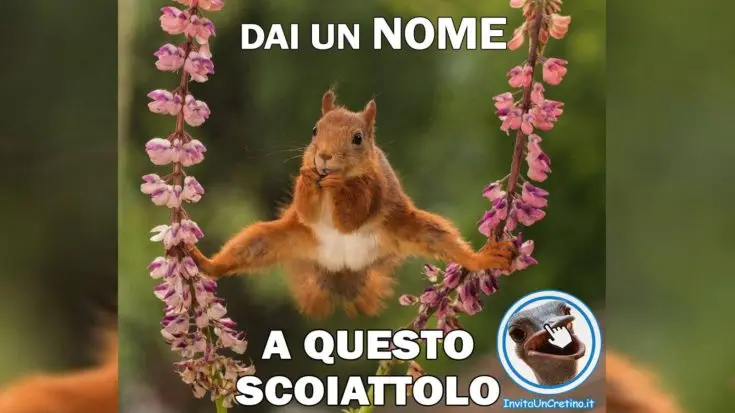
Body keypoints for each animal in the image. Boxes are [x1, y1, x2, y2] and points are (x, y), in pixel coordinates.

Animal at [188, 90, 515, 318]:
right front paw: (309, 178)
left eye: (357, 138)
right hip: (280, 237)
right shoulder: (305, 211)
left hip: (410, 228)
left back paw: (484, 258)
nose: (323, 157)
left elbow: (351, 218)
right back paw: (203, 261)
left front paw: (337, 187)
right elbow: (307, 210)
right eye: (314, 131)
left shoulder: (375, 189)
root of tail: (343, 267)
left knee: (444, 241)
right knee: (244, 249)